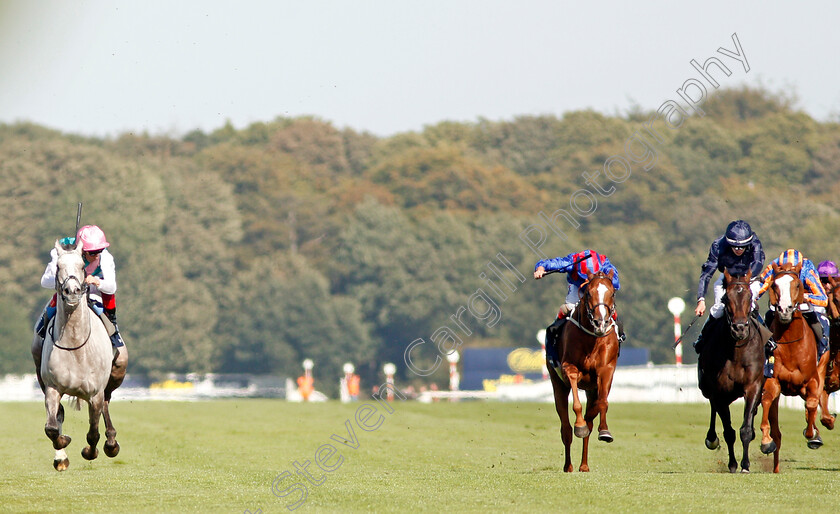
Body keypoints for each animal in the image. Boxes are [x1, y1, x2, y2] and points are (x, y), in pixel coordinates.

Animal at [548, 270, 620, 470]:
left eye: (612, 293)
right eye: (588, 293)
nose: (600, 322)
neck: (592, 338)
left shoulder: (606, 370)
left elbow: (602, 403)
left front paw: (604, 431)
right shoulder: (569, 368)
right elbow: (577, 407)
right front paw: (579, 424)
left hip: (591, 388)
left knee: (589, 421)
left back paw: (584, 465)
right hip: (557, 384)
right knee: (565, 428)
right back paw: (569, 466)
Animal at [700, 268, 764, 472]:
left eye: (750, 296)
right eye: (726, 298)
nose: (740, 329)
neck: (737, 351)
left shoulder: (753, 386)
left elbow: (746, 429)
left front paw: (745, 465)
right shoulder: (719, 392)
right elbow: (729, 432)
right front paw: (733, 464)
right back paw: (711, 438)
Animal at [756, 262, 832, 470]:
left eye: (797, 284)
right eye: (774, 285)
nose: (784, 310)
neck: (791, 344)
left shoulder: (812, 381)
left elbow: (812, 403)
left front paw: (812, 434)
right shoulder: (773, 380)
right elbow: (767, 400)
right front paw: (766, 441)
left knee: (814, 401)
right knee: (778, 432)